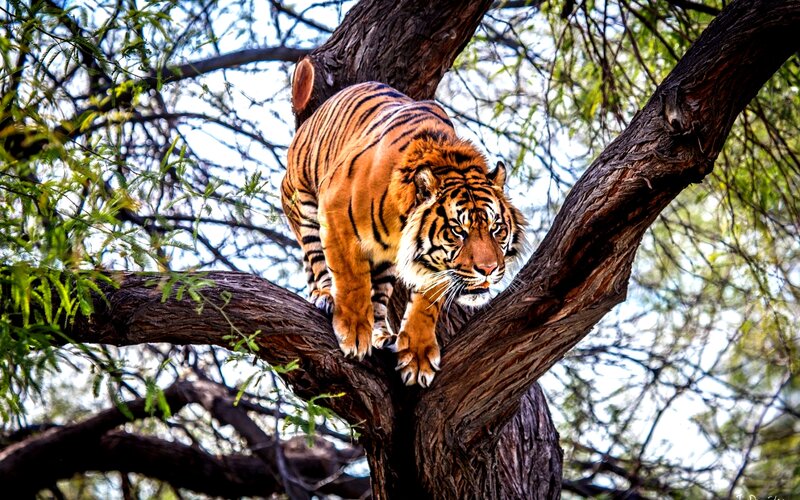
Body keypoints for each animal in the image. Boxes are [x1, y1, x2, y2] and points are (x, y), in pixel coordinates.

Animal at [281, 60, 526, 387]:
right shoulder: (335, 214)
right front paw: (354, 332)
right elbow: (351, 279)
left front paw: (418, 356)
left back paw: (381, 333)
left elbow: (426, 303)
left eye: (496, 229)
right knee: (318, 264)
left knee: (378, 295)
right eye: (458, 231)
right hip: (303, 203)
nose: (487, 270)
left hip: (385, 261)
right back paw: (326, 298)